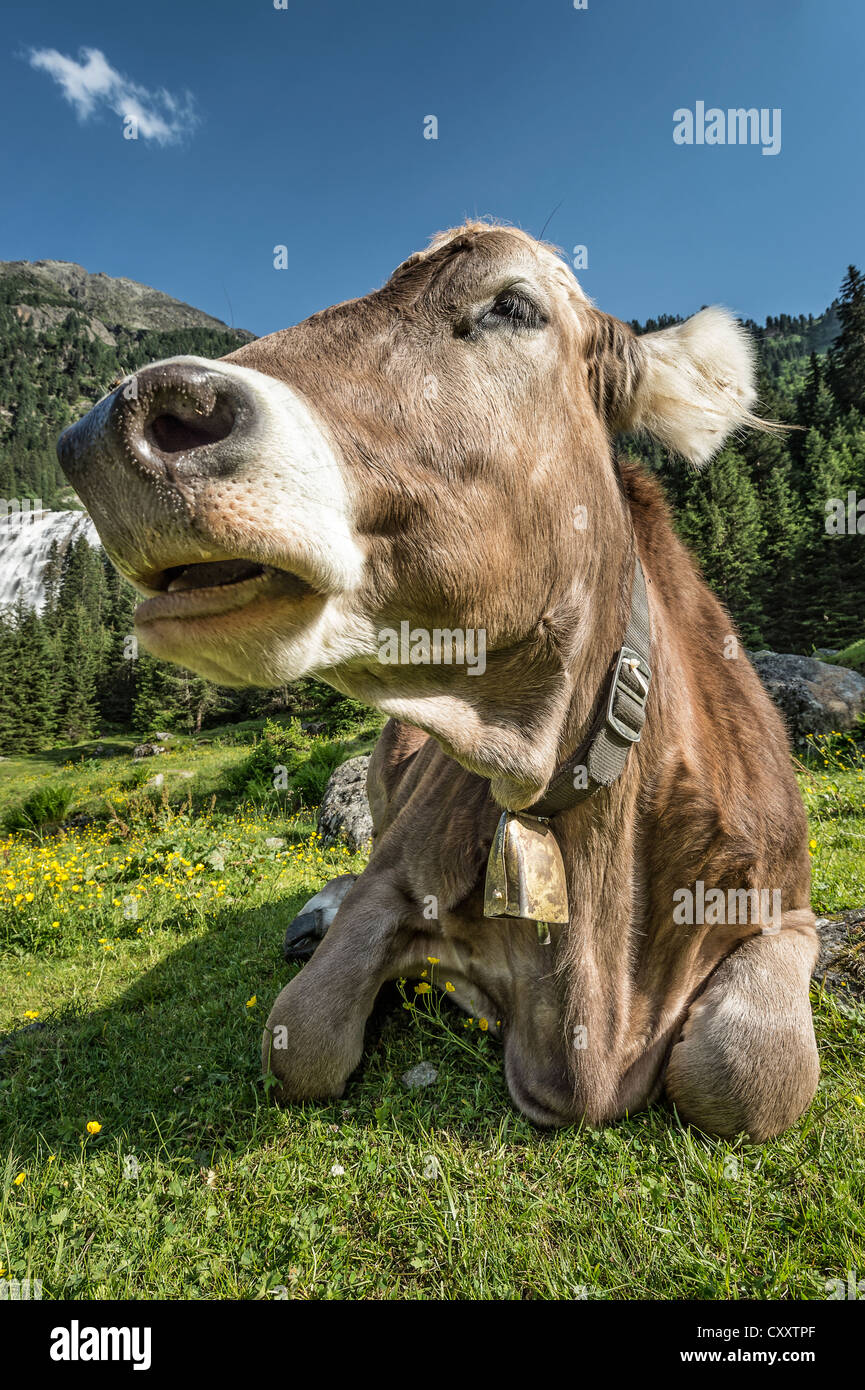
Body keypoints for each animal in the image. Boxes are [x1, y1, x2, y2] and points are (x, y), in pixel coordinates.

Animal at [59, 225, 817, 1139]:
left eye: (513, 305)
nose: (117, 420)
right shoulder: (396, 875)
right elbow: (300, 1039)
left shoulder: (789, 906)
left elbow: (745, 1073)